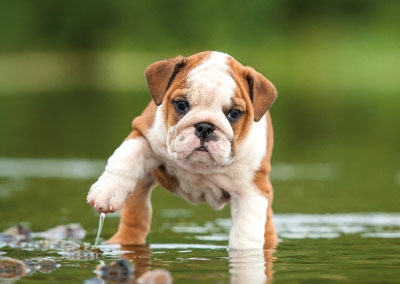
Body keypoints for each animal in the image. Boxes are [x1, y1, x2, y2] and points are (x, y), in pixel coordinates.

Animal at [86, 50, 278, 248]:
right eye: (181, 104)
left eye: (234, 113)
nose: (205, 127)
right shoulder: (143, 133)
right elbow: (125, 159)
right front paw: (107, 192)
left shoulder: (252, 189)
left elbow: (245, 232)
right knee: (137, 214)